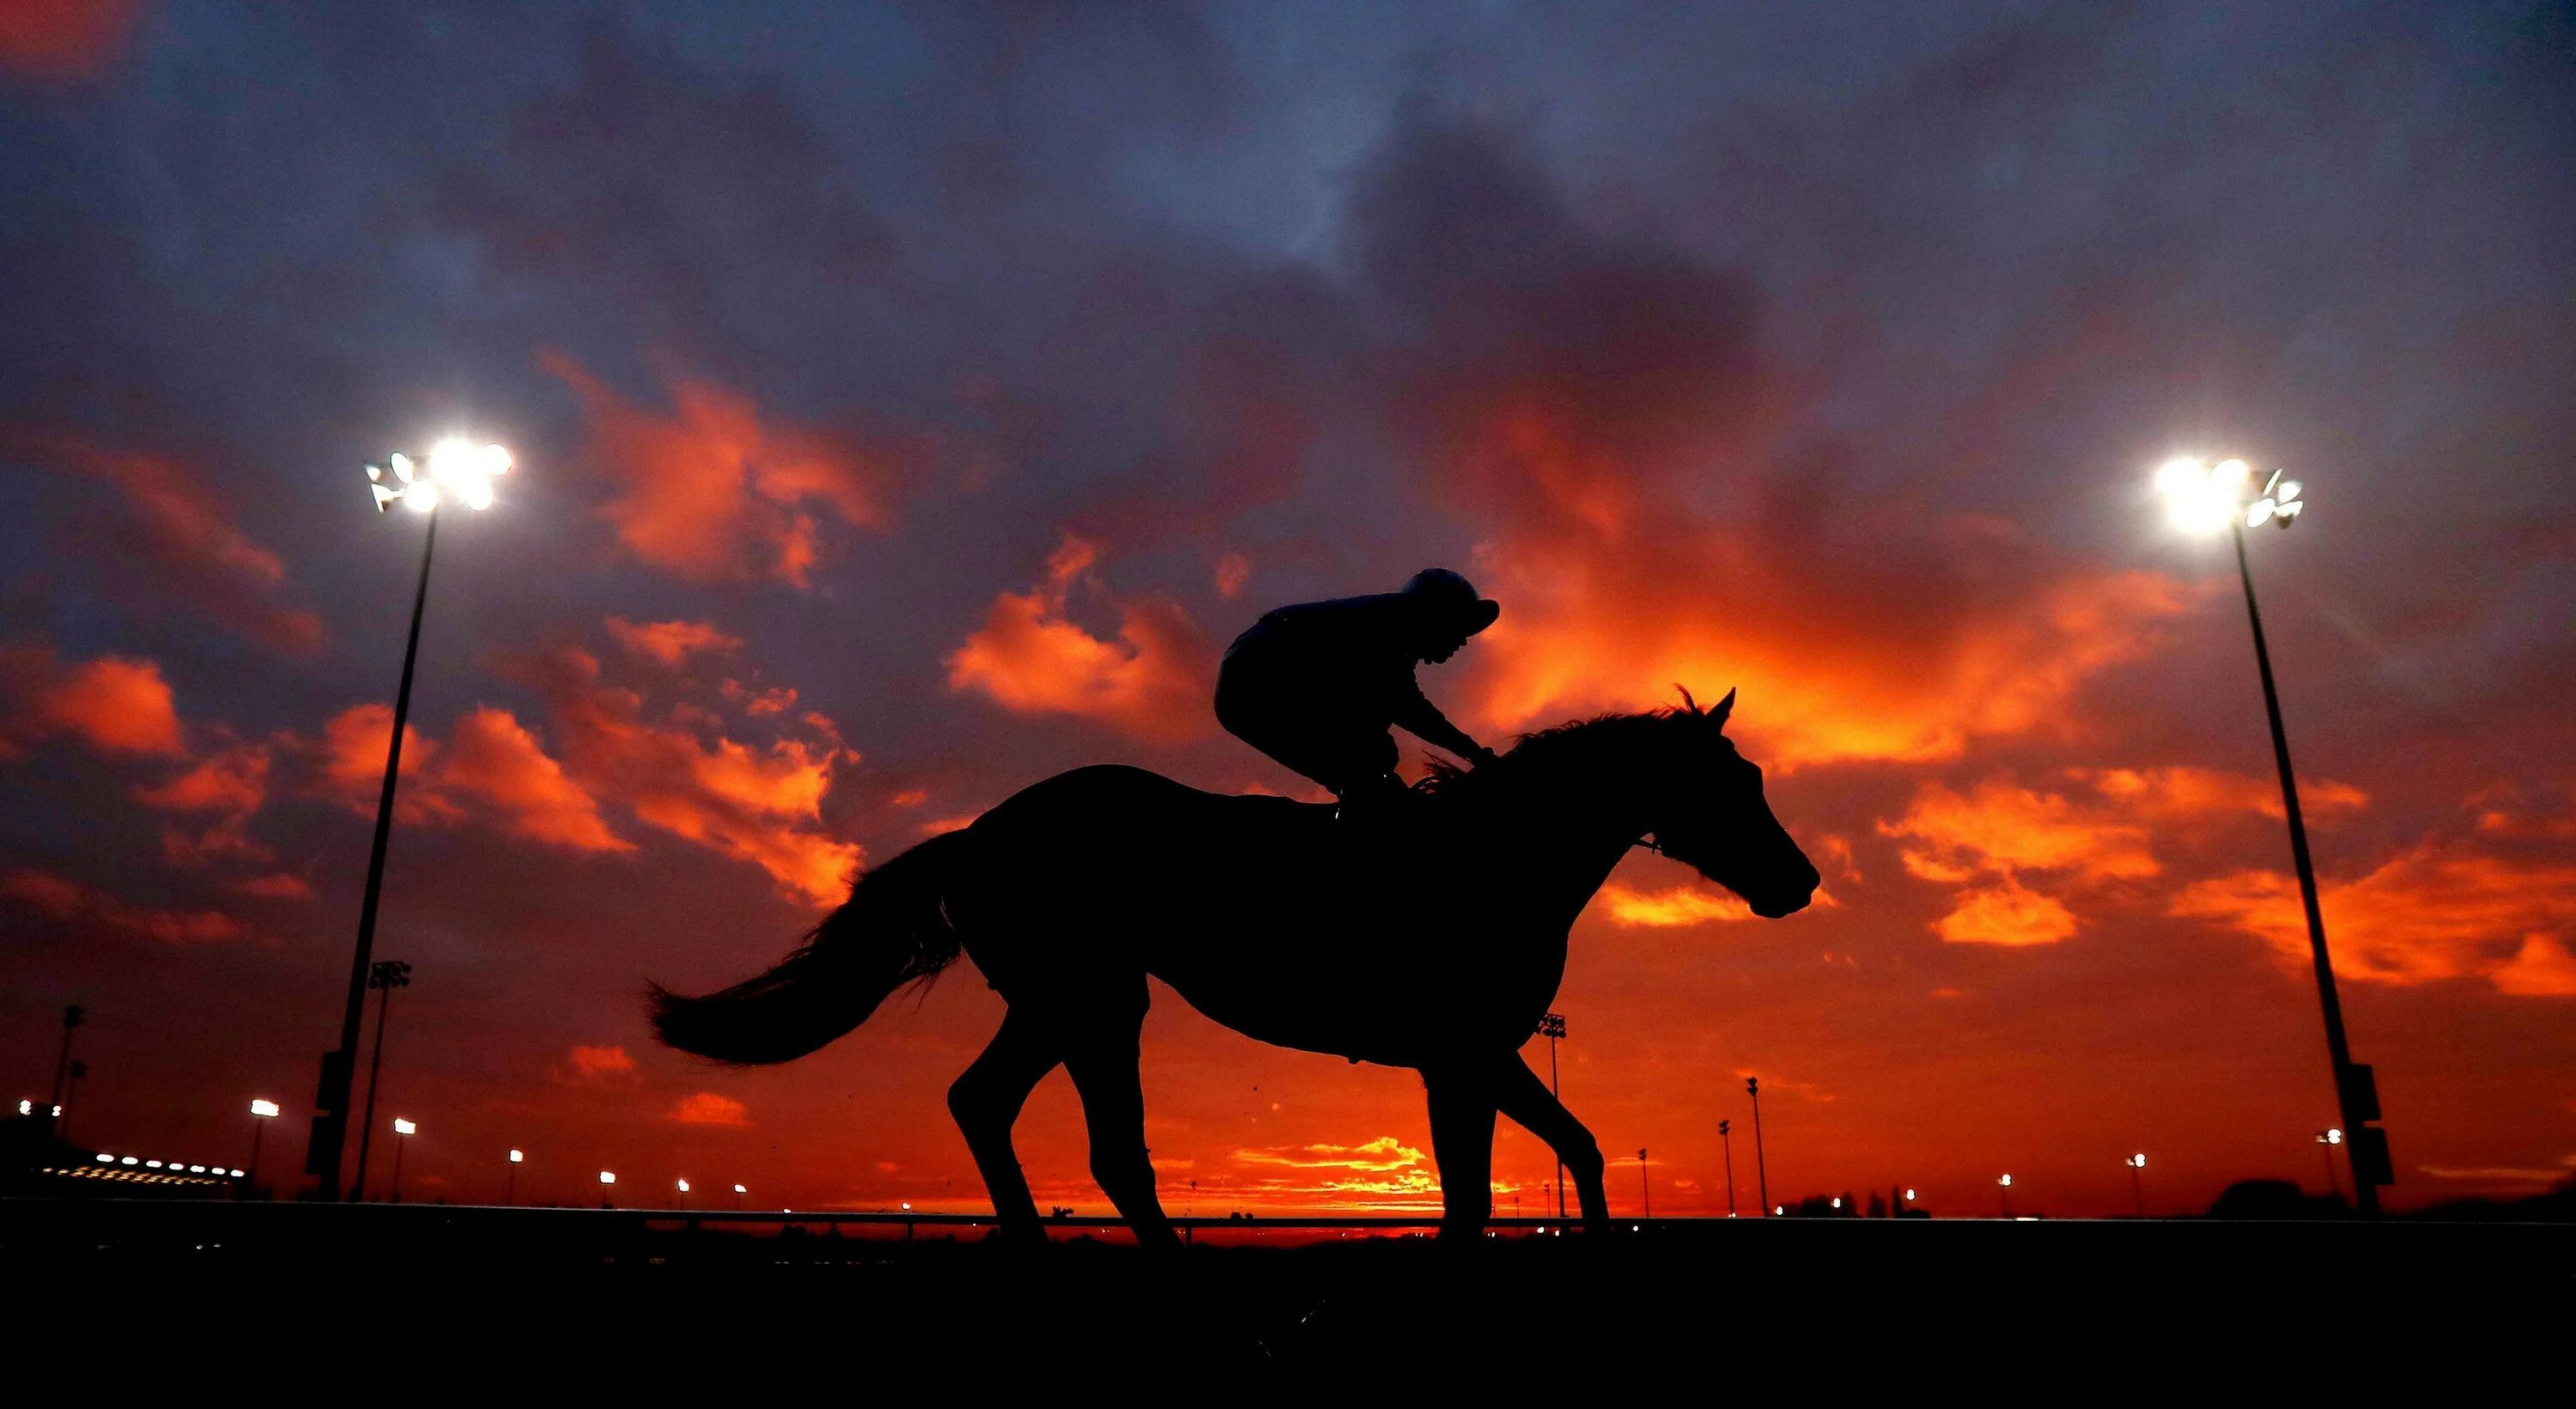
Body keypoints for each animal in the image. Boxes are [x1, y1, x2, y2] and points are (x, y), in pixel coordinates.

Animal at [649, 690, 1814, 1252]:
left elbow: (1572, 1151)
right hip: (1096, 1001)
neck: (1493, 858)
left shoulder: (1480, 1053)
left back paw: (1035, 1252)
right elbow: (1474, 1191)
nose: (1799, 882)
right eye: (1733, 783)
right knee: (1112, 1150)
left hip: (1059, 1000)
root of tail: (975, 836)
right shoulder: (1457, 1056)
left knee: (981, 1102)